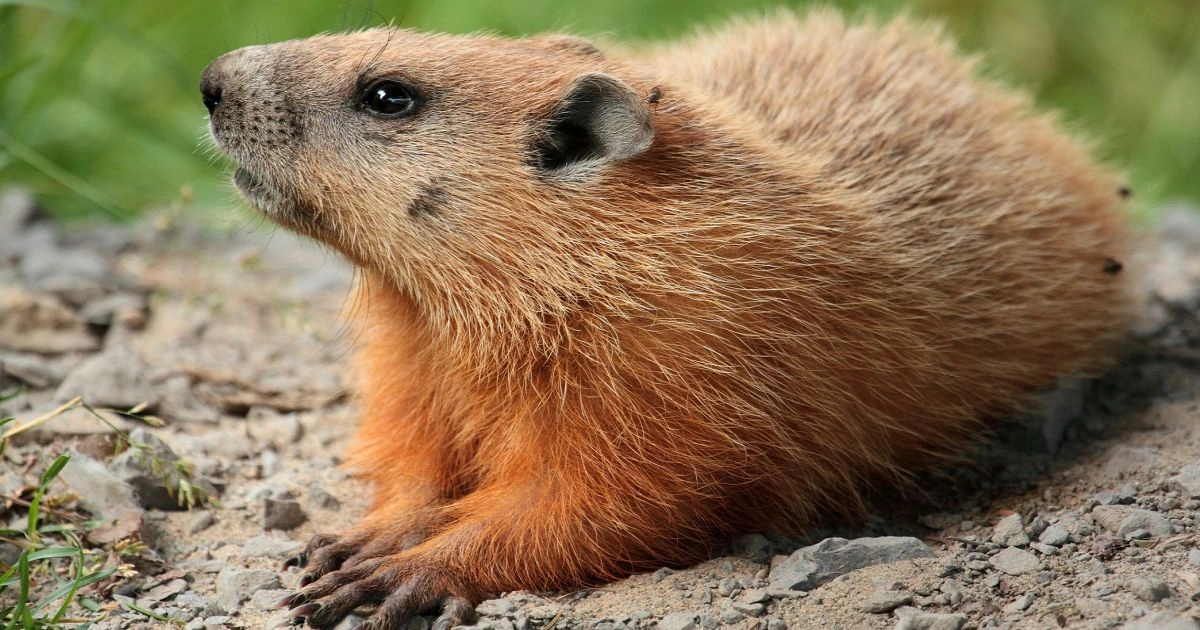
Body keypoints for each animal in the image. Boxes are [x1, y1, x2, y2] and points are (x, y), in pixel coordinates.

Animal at [202, 10, 1135, 629]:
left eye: (388, 94)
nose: (210, 78)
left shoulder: (675, 357)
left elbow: (619, 490)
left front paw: (408, 572)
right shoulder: (410, 349)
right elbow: (410, 439)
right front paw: (364, 538)